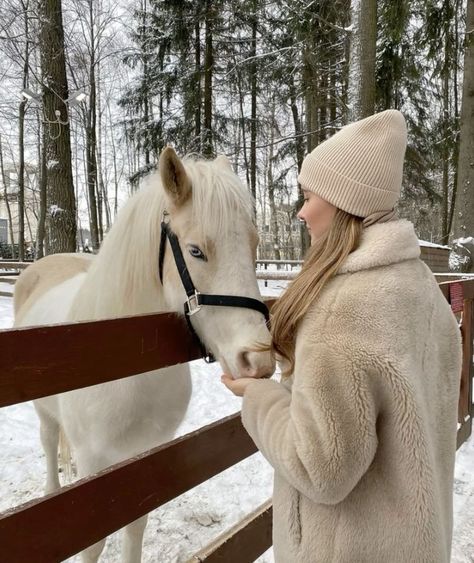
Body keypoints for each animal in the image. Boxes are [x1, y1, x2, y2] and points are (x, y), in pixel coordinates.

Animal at [13, 149, 274, 563]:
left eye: (254, 244)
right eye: (196, 251)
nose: (258, 360)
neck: (124, 369)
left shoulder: (144, 457)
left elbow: (135, 526)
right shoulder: (93, 461)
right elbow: (92, 541)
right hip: (44, 411)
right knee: (49, 440)